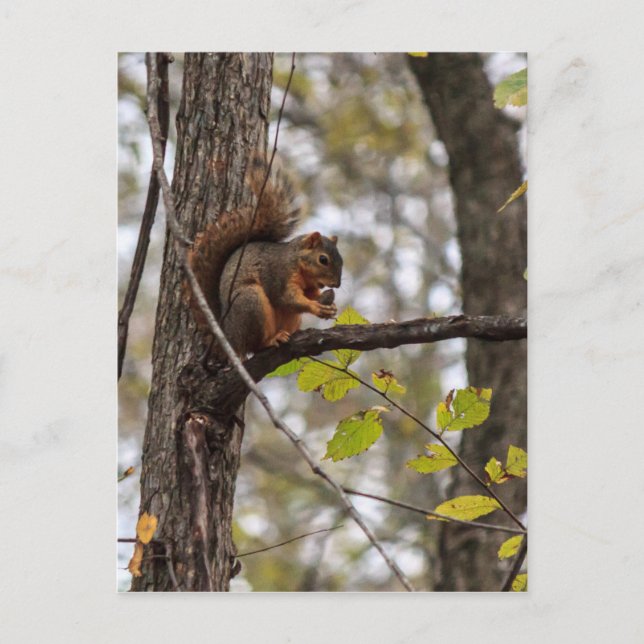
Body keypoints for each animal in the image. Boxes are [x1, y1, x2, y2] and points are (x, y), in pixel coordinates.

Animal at [187, 157, 343, 357]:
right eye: (323, 260)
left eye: (341, 260)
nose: (337, 284)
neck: (297, 263)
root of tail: (230, 339)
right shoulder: (277, 274)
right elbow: (285, 298)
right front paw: (315, 307)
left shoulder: (308, 286)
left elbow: (309, 295)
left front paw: (330, 306)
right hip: (251, 302)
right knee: (255, 345)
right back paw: (271, 340)